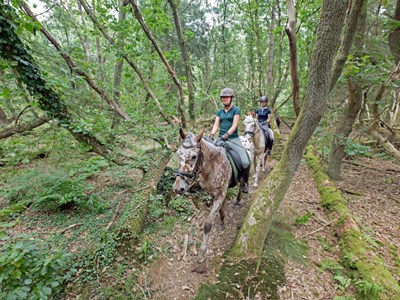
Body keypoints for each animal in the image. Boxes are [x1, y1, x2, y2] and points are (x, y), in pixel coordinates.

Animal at [172, 127, 250, 274]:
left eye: (193, 156)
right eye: (179, 154)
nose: (178, 188)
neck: (212, 166)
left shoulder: (220, 194)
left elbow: (208, 224)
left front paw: (201, 260)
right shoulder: (214, 194)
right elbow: (219, 209)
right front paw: (222, 220)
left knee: (243, 182)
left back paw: (238, 200)